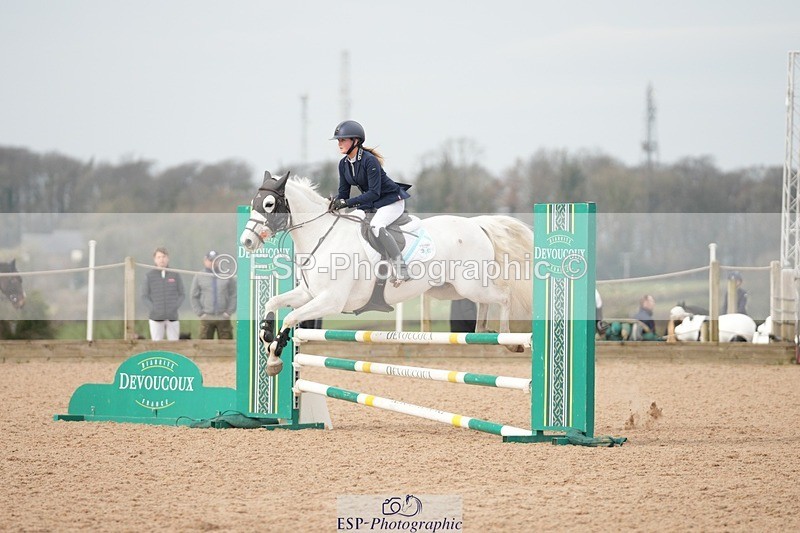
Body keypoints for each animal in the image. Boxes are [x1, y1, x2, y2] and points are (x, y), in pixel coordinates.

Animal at [239, 171, 533, 376]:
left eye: (269, 204)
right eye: (253, 203)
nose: (247, 242)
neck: (323, 235)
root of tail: (477, 225)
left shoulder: (330, 301)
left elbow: (290, 318)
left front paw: (274, 356)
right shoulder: (308, 294)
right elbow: (273, 302)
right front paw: (266, 336)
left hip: (469, 284)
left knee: (504, 295)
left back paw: (509, 339)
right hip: (449, 289)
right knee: (486, 302)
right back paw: (482, 330)